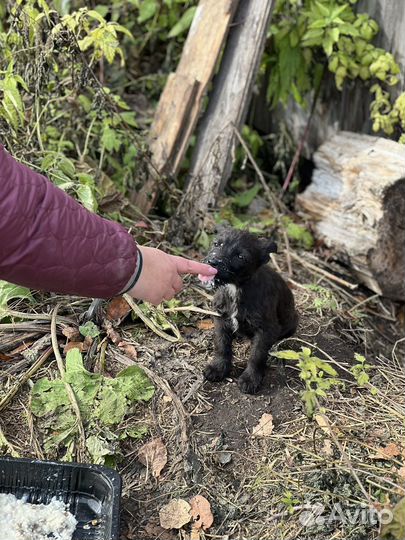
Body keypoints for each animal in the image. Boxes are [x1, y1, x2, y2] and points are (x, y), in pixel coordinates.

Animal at [199, 226, 296, 394]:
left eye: (240, 256)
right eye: (217, 244)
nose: (212, 262)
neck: (235, 288)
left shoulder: (266, 329)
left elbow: (257, 355)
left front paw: (250, 379)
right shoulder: (221, 319)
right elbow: (221, 345)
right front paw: (218, 368)